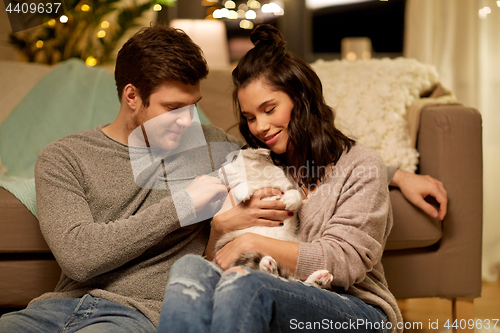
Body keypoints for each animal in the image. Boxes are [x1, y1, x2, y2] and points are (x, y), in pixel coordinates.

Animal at [215, 148, 332, 288]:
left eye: (234, 158)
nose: (220, 167)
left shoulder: (287, 190)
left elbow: (294, 193)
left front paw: (290, 201)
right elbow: (238, 186)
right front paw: (244, 191)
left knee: (297, 281)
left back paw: (319, 278)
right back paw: (269, 265)